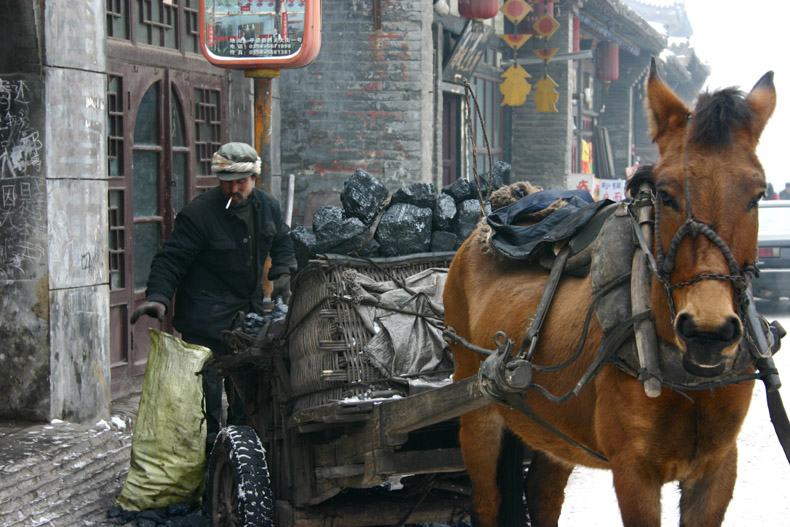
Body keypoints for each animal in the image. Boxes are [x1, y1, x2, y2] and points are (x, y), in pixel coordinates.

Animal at [446, 64, 780, 524]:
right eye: (665, 194)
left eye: (758, 194)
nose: (707, 331)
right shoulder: (633, 471)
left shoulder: (717, 467)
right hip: (475, 406)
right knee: (487, 500)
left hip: (551, 427)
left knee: (543, 492)